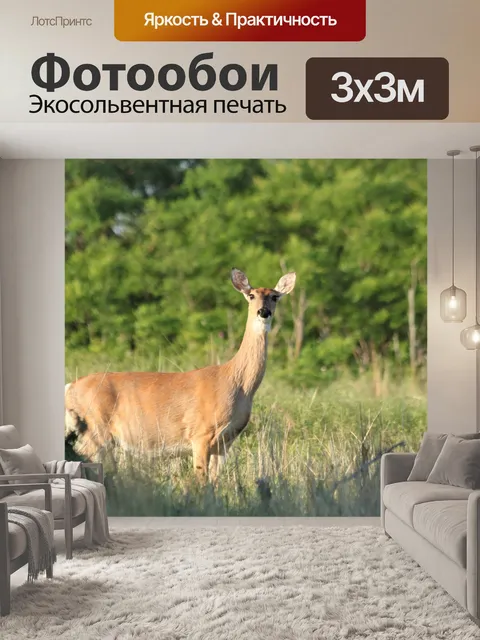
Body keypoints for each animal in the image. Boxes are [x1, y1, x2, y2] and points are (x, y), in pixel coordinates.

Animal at [65, 268, 296, 482]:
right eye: (251, 295)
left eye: (274, 296)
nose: (263, 312)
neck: (236, 383)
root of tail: (69, 387)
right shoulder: (200, 433)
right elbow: (202, 481)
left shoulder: (224, 443)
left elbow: (215, 482)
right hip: (95, 430)